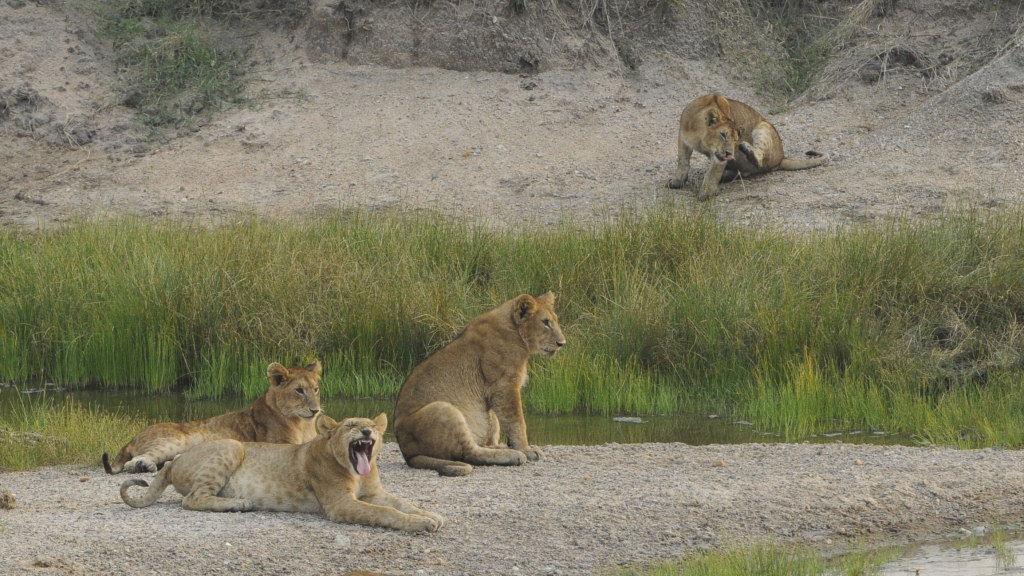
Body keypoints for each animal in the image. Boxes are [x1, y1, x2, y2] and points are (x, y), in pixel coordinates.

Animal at [102, 361, 323, 474]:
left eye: (315, 389)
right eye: (299, 391)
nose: (316, 411)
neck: (303, 425)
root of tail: (134, 437)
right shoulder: (280, 445)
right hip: (176, 440)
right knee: (134, 462)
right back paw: (144, 465)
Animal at [119, 413, 444, 533]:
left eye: (373, 427)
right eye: (351, 425)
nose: (366, 432)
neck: (357, 471)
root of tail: (174, 463)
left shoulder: (375, 493)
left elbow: (402, 503)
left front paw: (432, 516)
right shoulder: (340, 505)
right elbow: (385, 513)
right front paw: (421, 524)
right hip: (232, 445)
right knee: (193, 499)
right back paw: (239, 503)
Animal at [394, 291, 566, 477]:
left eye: (555, 320)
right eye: (545, 322)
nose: (562, 343)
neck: (515, 331)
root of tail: (408, 454)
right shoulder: (504, 387)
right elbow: (517, 422)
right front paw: (526, 450)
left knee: (484, 440)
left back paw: (503, 448)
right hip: (444, 409)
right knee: (470, 453)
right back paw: (513, 455)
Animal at [668, 93, 828, 200]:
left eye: (735, 140)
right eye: (723, 135)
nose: (729, 153)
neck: (699, 137)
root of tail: (782, 157)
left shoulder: (718, 158)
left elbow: (713, 173)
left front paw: (706, 193)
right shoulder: (683, 139)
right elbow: (682, 162)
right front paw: (677, 182)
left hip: (763, 127)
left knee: (758, 161)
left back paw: (746, 150)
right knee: (744, 172)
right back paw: (727, 175)